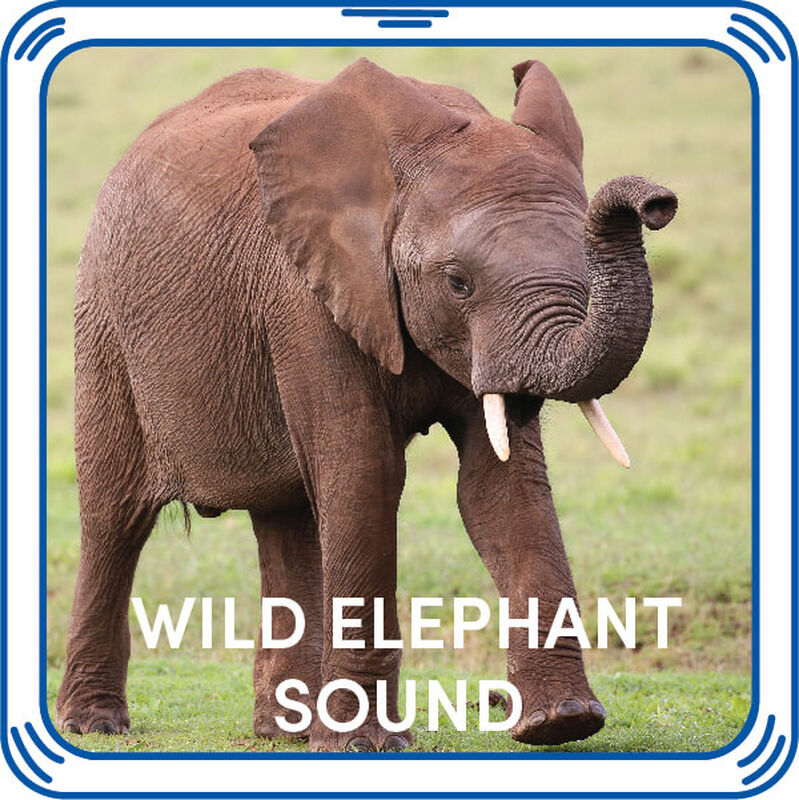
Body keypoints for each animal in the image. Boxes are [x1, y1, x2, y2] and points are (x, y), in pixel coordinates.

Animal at [55, 56, 677, 752]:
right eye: (458, 283)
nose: (657, 203)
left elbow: (500, 484)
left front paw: (561, 724)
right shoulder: (306, 296)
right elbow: (366, 474)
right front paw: (366, 747)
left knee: (288, 516)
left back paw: (286, 734)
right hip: (102, 325)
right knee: (114, 519)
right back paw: (94, 724)